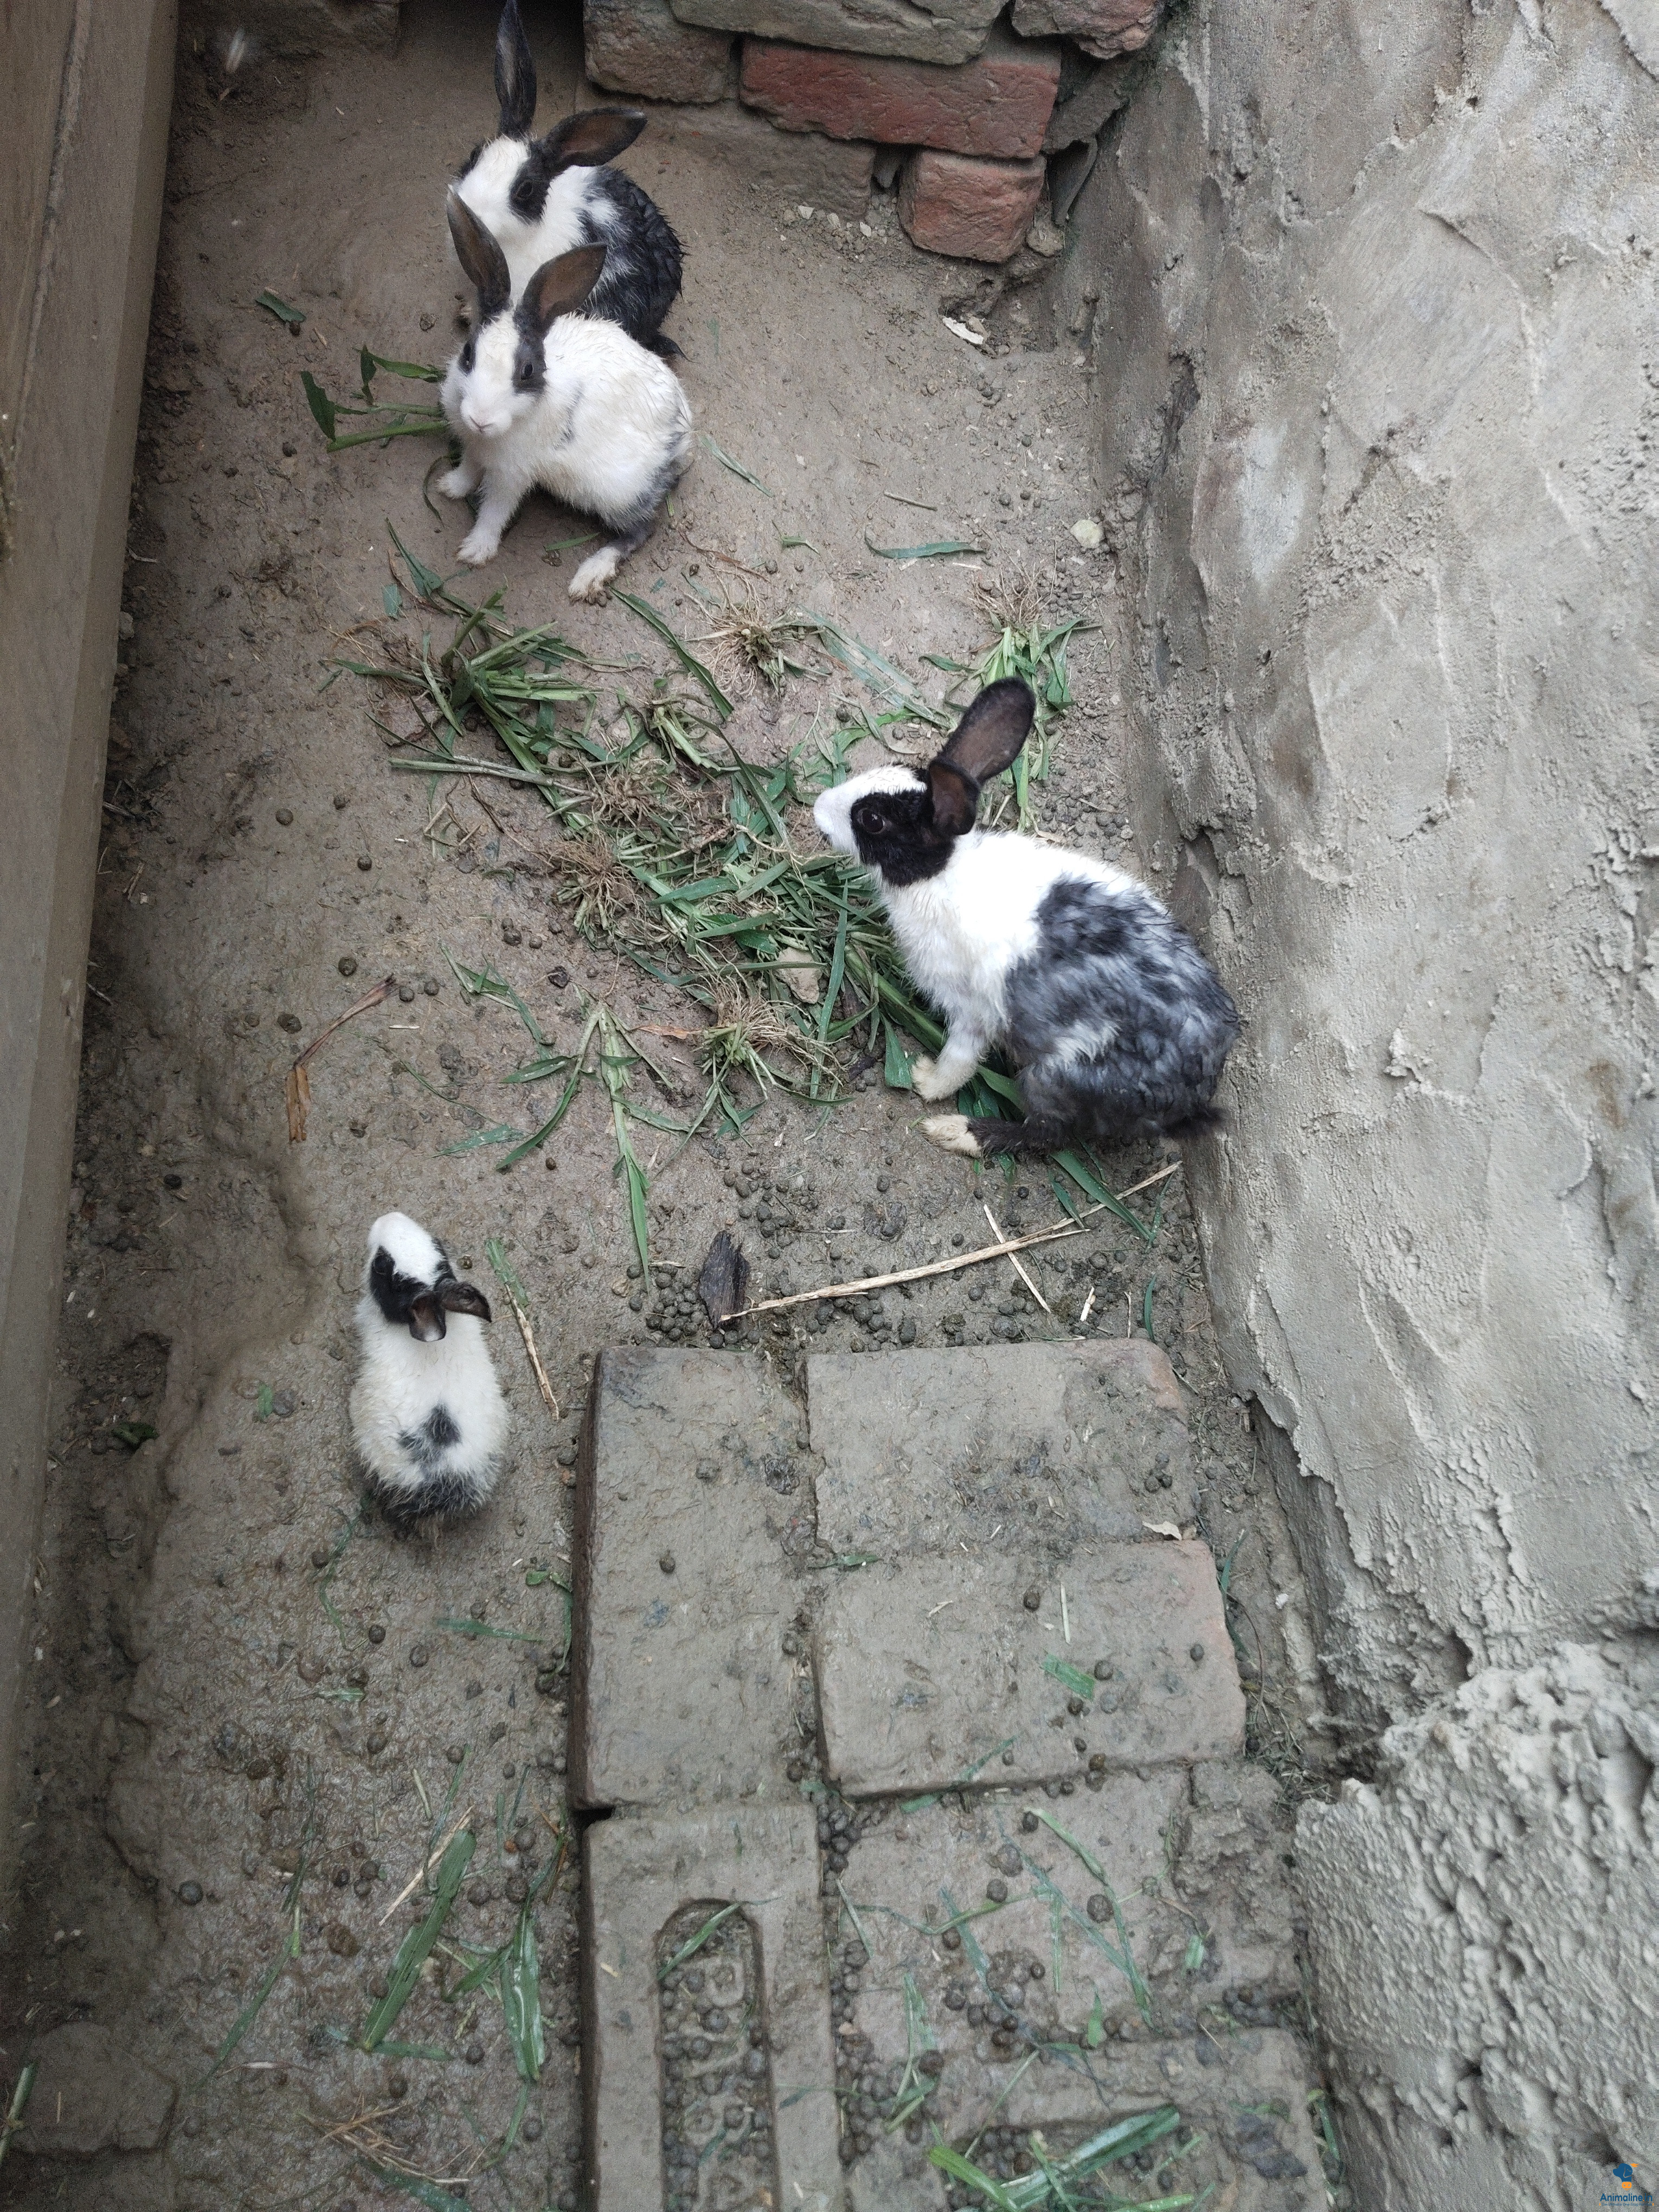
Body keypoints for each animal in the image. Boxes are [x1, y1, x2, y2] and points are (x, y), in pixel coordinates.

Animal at [439, 191, 692, 602]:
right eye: (468, 353)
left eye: (527, 371)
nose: (479, 418)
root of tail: (684, 439)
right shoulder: (474, 449)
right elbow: (468, 470)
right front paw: (449, 488)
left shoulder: (512, 476)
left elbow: (495, 511)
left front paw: (475, 552)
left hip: (618, 493)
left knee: (640, 531)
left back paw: (590, 574)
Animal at [811, 678, 1242, 1158]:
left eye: (871, 819)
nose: (817, 809)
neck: (941, 872)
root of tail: (1190, 1097)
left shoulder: (971, 1009)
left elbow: (960, 1059)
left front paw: (927, 1081)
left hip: (1053, 1076)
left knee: (1045, 1134)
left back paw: (957, 1131)